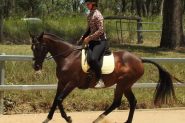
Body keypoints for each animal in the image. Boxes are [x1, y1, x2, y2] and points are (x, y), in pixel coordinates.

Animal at [31, 32, 177, 123]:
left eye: (40, 47)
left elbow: (59, 99)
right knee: (132, 101)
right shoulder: (61, 82)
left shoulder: (72, 83)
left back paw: (98, 119)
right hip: (126, 85)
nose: (36, 67)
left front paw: (68, 118)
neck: (68, 57)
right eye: (32, 48)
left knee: (117, 102)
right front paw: (47, 119)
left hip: (122, 84)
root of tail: (140, 59)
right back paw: (124, 121)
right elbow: (55, 100)